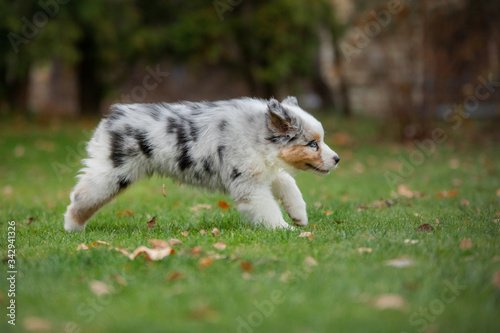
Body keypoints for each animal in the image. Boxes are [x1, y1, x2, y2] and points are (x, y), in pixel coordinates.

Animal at [63, 97, 340, 230]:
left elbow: (287, 181)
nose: (337, 159)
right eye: (312, 144)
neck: (257, 134)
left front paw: (299, 215)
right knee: (81, 196)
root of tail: (112, 117)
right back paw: (72, 228)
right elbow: (268, 210)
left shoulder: (263, 169)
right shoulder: (249, 184)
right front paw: (286, 230)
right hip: (114, 173)